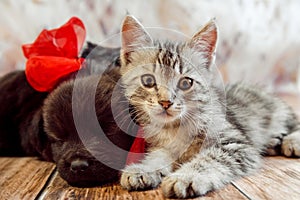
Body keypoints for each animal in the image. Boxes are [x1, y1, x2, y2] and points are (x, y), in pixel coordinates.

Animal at [118, 14, 300, 198]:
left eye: (185, 83)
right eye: (148, 81)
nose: (165, 102)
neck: (174, 128)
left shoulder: (234, 145)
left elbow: (210, 159)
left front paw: (185, 177)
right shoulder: (162, 146)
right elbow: (157, 157)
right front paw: (143, 169)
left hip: (278, 112)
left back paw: (291, 140)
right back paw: (273, 142)